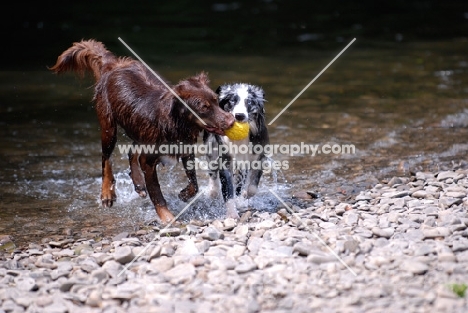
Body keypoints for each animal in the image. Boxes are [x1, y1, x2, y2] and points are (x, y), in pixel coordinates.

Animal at [50, 39, 234, 222]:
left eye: (216, 101)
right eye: (204, 107)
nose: (231, 120)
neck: (175, 124)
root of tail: (114, 64)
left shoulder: (186, 150)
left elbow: (194, 184)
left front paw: (184, 195)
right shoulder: (148, 161)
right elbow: (157, 193)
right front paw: (167, 217)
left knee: (131, 152)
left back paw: (138, 183)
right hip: (109, 127)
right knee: (106, 158)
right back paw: (107, 193)